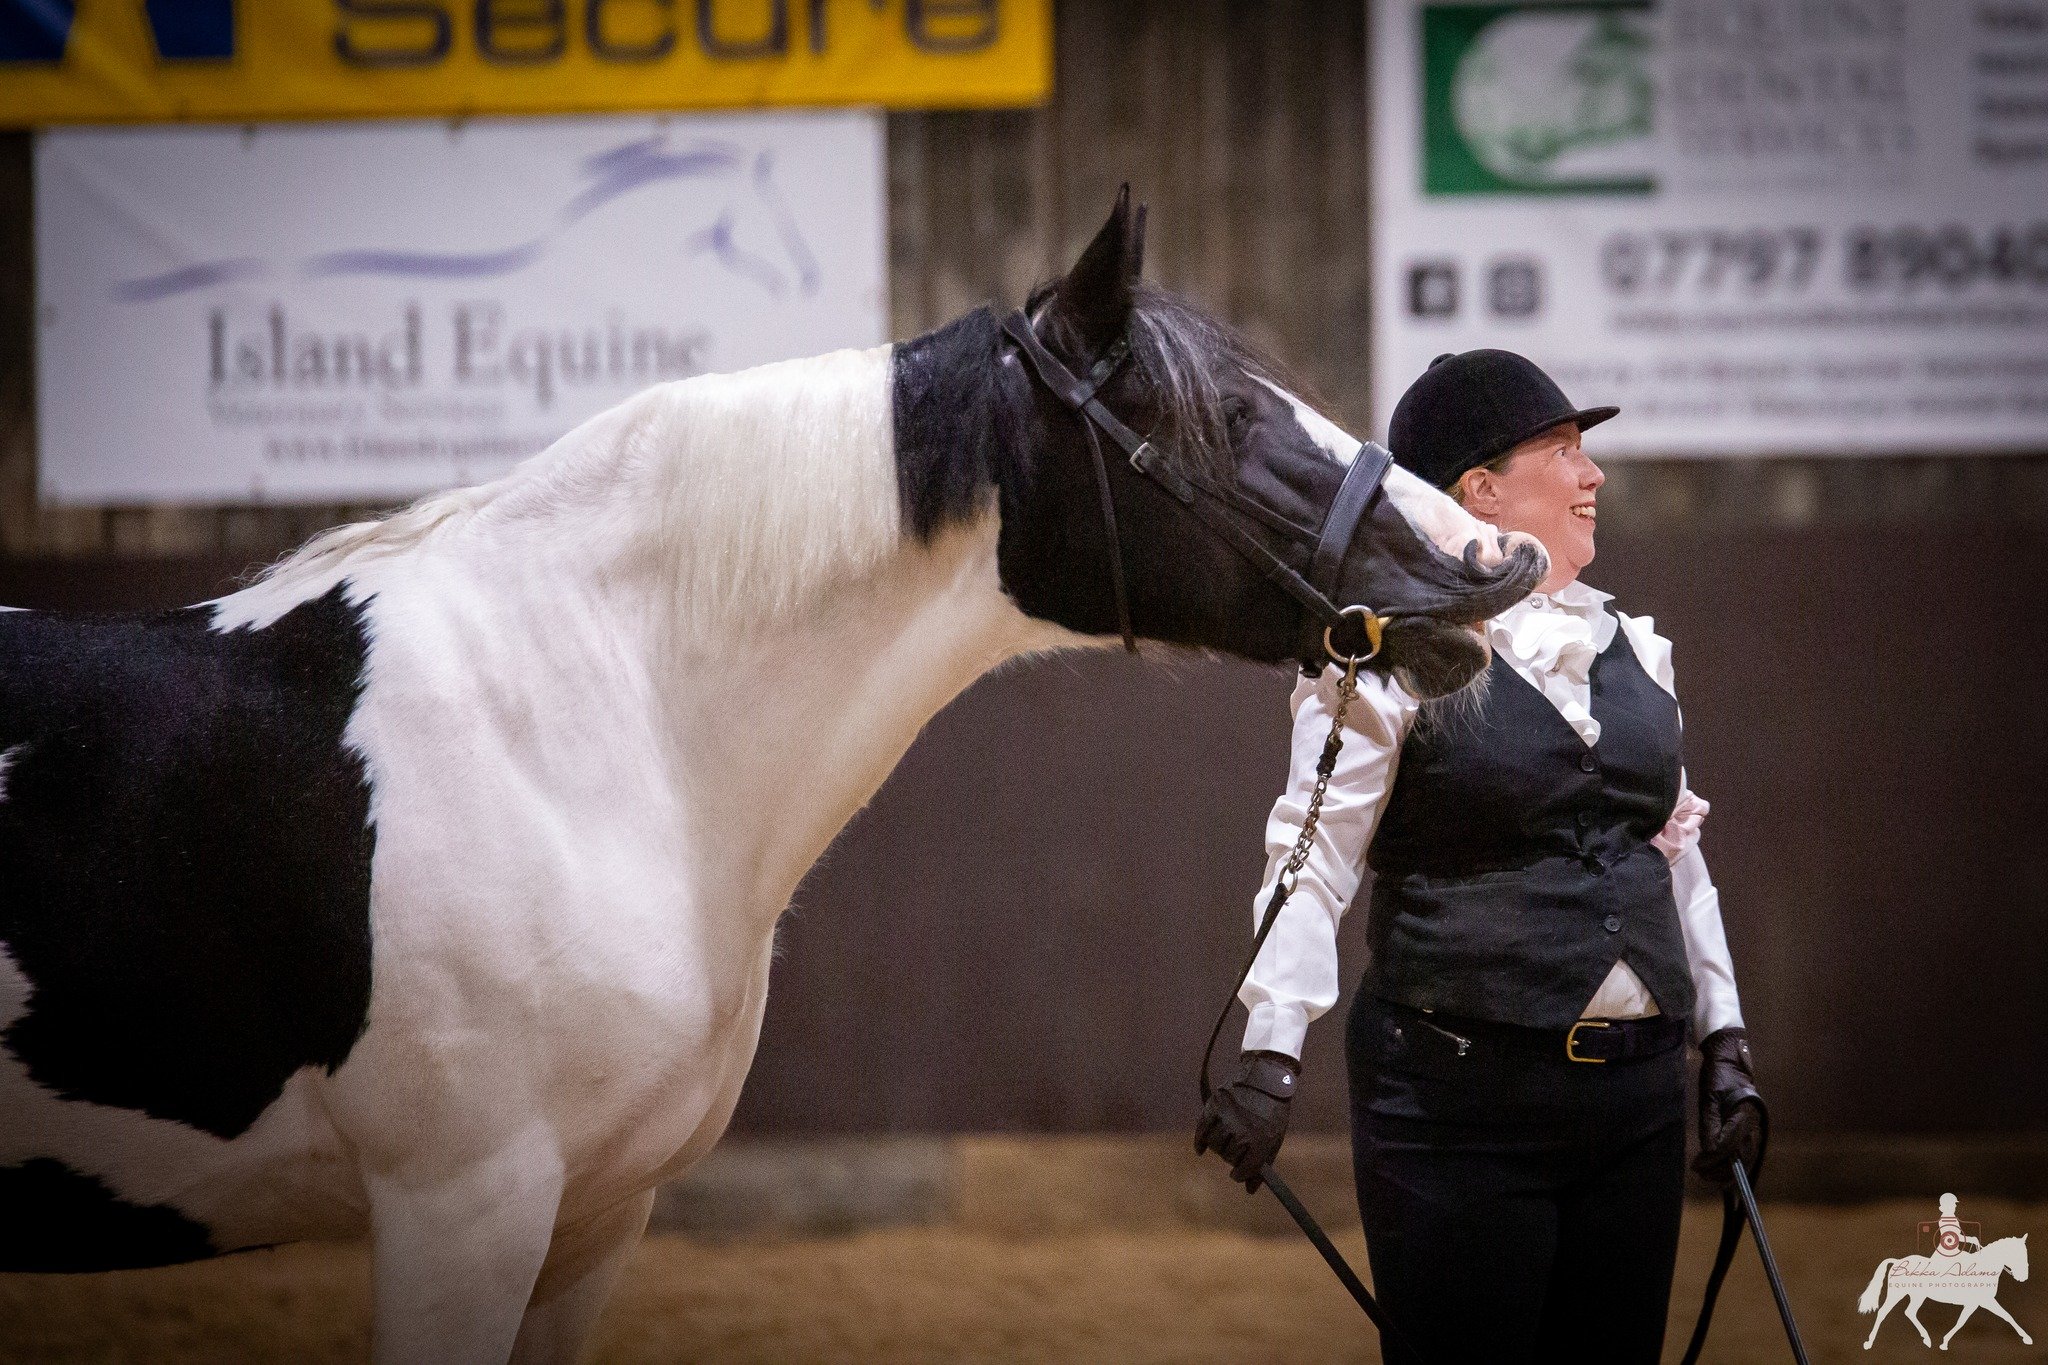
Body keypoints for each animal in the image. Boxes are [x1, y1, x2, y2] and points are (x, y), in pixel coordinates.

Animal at [1859, 1234, 2032, 1350]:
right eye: (2018, 1255)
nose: (2023, 1277)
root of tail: (1898, 1261)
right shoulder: (1981, 1302)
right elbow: (1962, 1322)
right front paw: (1944, 1343)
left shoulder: (1978, 1302)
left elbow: (2007, 1316)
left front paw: (2027, 1338)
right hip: (1897, 1294)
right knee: (1883, 1312)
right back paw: (1869, 1343)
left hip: (1918, 1296)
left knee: (1910, 1312)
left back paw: (1926, 1339)